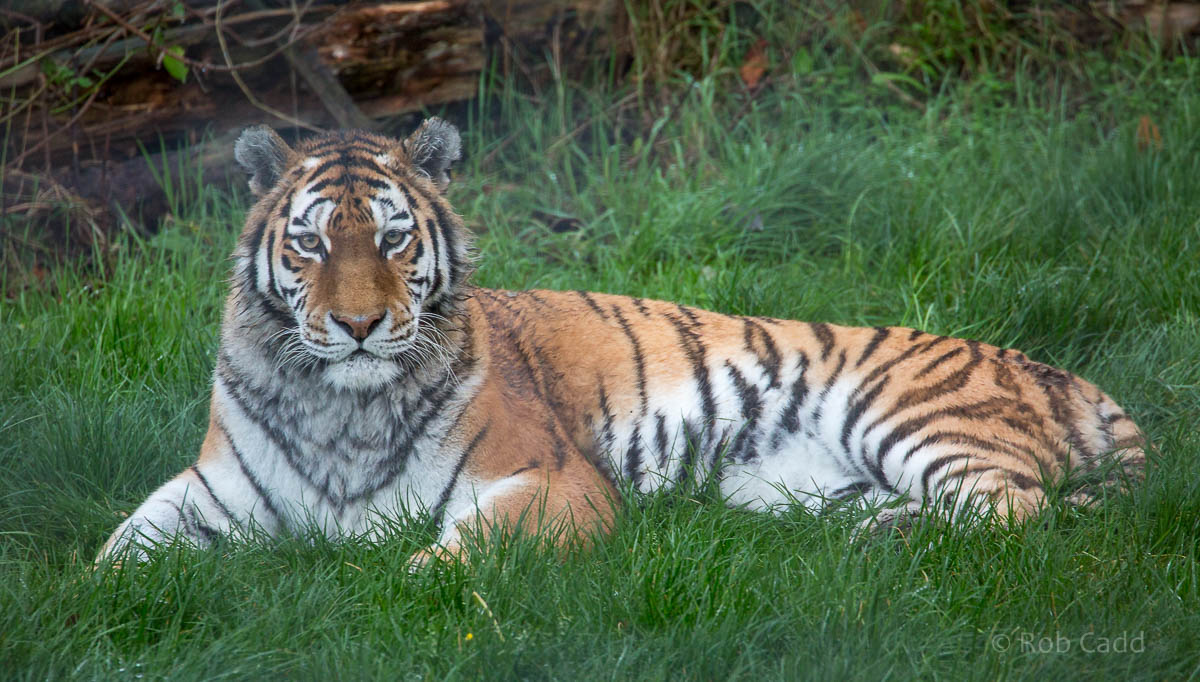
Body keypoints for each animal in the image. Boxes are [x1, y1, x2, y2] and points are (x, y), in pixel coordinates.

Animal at [97, 119, 1147, 567]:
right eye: (312, 243)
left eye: (392, 239)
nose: (357, 326)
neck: (341, 405)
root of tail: (1068, 373)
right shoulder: (216, 490)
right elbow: (115, 552)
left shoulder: (553, 482)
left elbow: (467, 548)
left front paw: (417, 577)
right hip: (818, 484)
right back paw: (875, 536)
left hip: (911, 417)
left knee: (1015, 509)